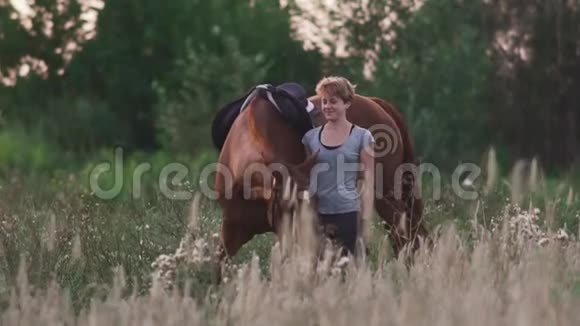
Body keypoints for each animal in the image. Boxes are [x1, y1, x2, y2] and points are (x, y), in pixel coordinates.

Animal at [213, 86, 430, 278]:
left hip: (388, 198)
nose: (318, 236)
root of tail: (377, 104)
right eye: (290, 207)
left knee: (405, 238)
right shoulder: (232, 229)